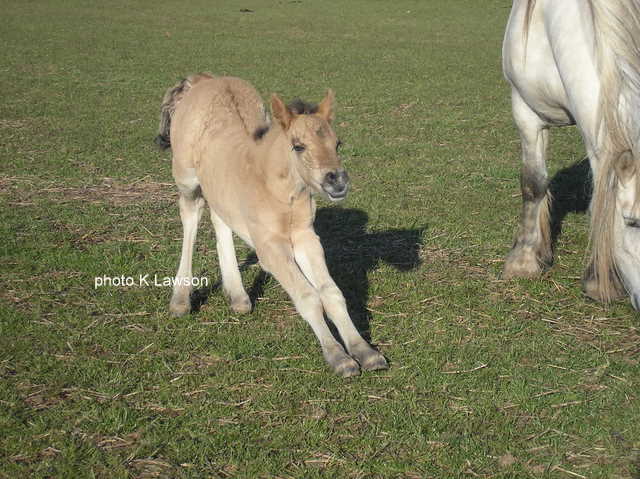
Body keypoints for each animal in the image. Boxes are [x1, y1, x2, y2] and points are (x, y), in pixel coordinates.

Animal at [154, 74, 388, 376]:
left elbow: (331, 292)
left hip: (218, 184)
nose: (337, 182)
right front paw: (339, 357)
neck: (279, 191)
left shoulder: (306, 238)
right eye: (298, 146)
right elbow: (307, 296)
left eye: (338, 144)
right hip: (186, 178)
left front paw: (365, 352)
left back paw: (238, 297)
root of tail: (202, 79)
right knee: (190, 215)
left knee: (220, 216)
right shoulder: (270, 247)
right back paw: (180, 300)